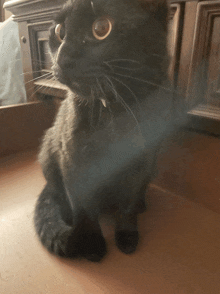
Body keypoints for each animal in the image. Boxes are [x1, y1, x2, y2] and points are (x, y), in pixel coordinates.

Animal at [34, 0, 184, 262]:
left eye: (101, 28)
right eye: (60, 32)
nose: (62, 58)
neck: (114, 114)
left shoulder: (140, 164)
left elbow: (127, 205)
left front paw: (127, 236)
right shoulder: (74, 164)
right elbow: (85, 211)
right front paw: (92, 244)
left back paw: (142, 205)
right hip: (49, 151)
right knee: (59, 194)